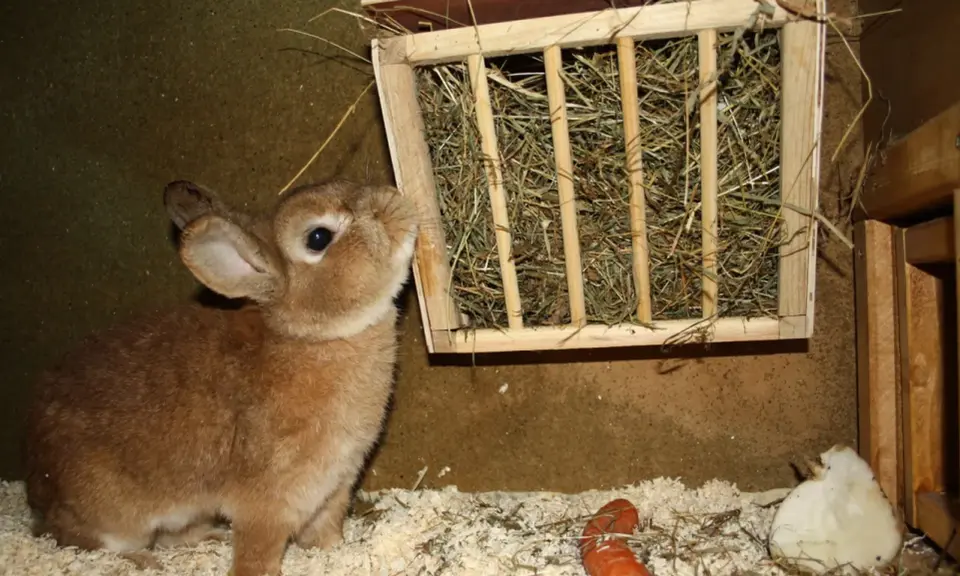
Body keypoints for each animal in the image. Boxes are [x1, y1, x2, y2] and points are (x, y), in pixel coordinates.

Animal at [22, 178, 420, 576]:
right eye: (319, 237)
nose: (395, 202)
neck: (313, 338)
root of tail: (37, 485)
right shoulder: (268, 503)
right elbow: (256, 553)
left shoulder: (334, 488)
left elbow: (326, 534)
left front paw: (334, 551)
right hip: (112, 516)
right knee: (80, 538)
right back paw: (141, 560)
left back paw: (207, 538)